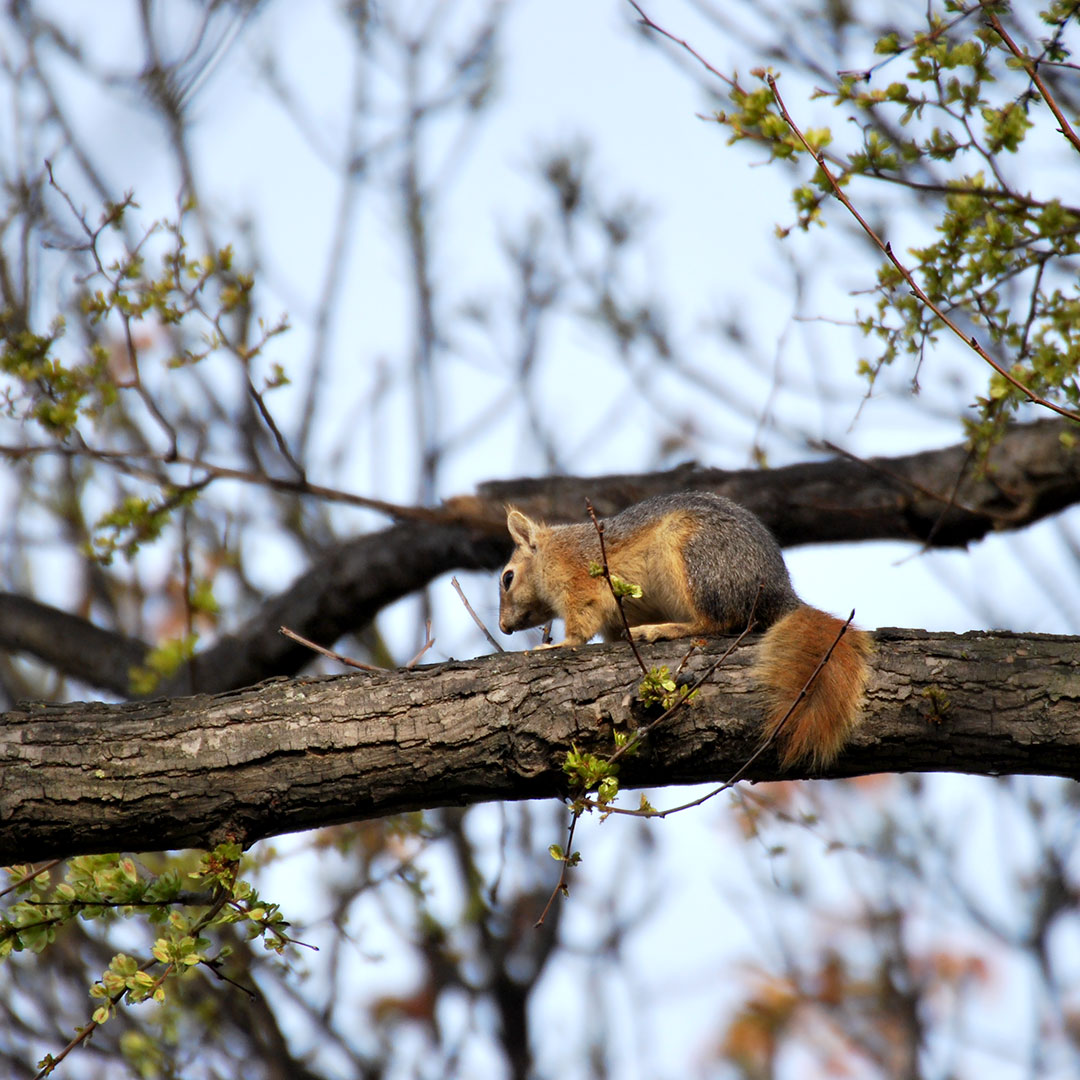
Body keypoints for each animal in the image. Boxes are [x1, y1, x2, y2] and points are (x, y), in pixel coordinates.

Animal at [496, 494, 868, 773]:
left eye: (507, 578)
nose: (503, 627)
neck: (552, 552)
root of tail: (778, 595)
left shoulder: (580, 581)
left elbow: (580, 626)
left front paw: (557, 645)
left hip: (693, 559)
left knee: (715, 623)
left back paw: (664, 630)